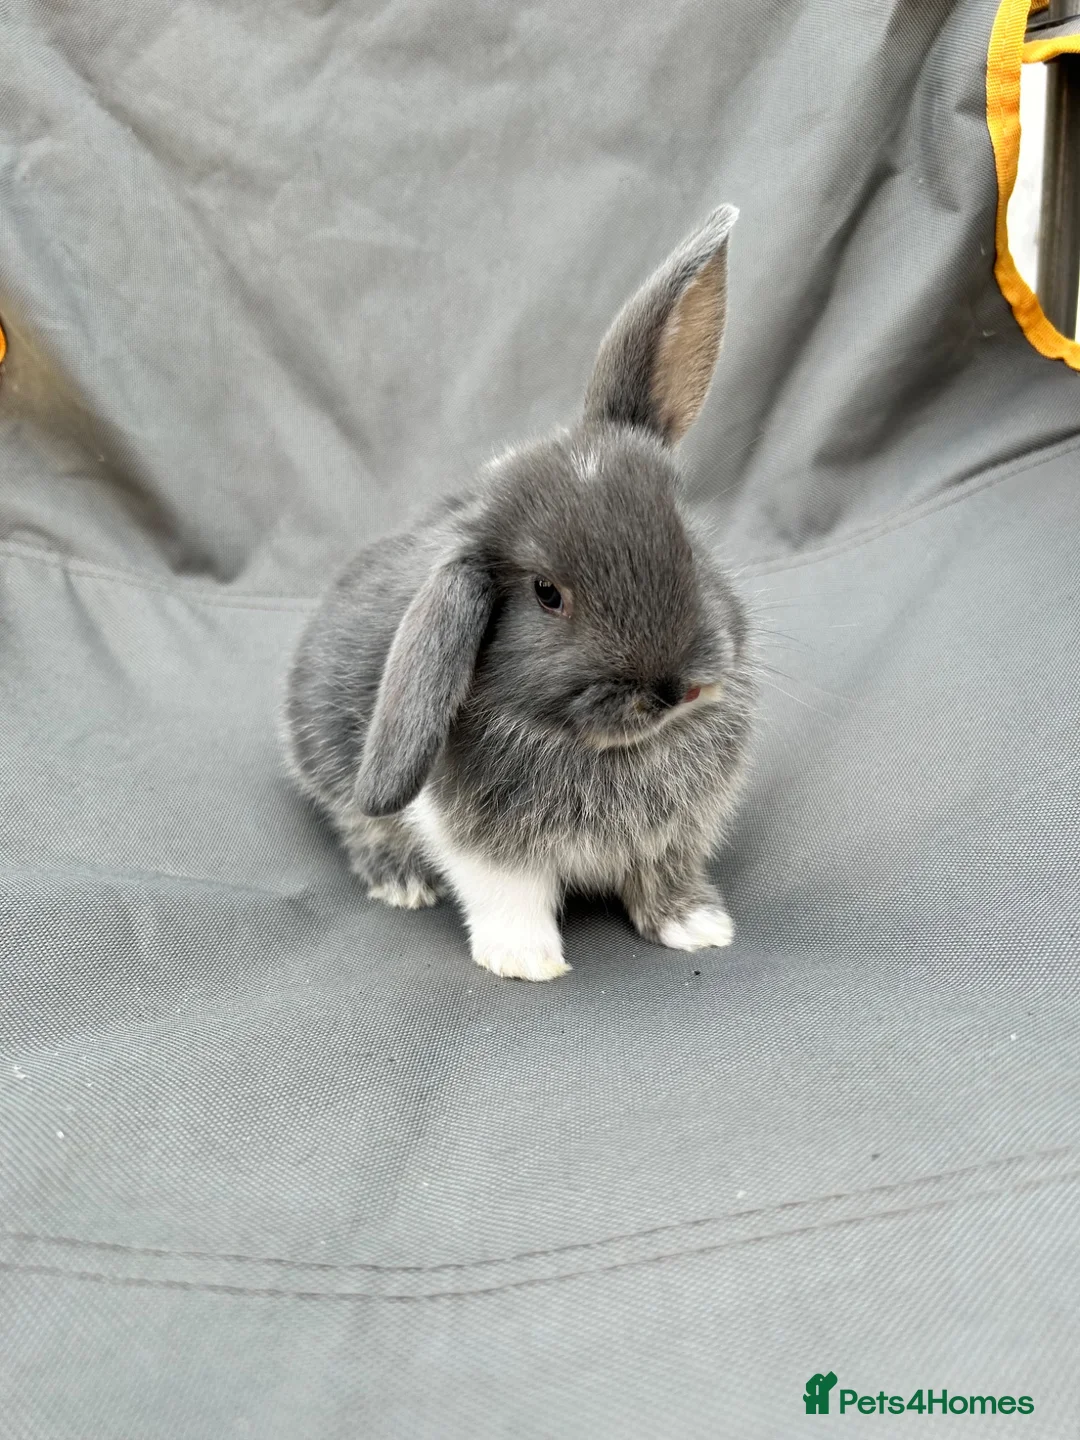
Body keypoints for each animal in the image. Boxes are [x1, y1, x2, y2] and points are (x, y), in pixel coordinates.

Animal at [284, 204, 755, 981]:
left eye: (685, 537)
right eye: (546, 593)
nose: (674, 689)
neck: (607, 750)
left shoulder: (674, 836)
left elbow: (663, 876)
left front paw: (697, 927)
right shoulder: (479, 842)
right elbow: (508, 894)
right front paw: (526, 960)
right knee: (358, 822)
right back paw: (401, 882)